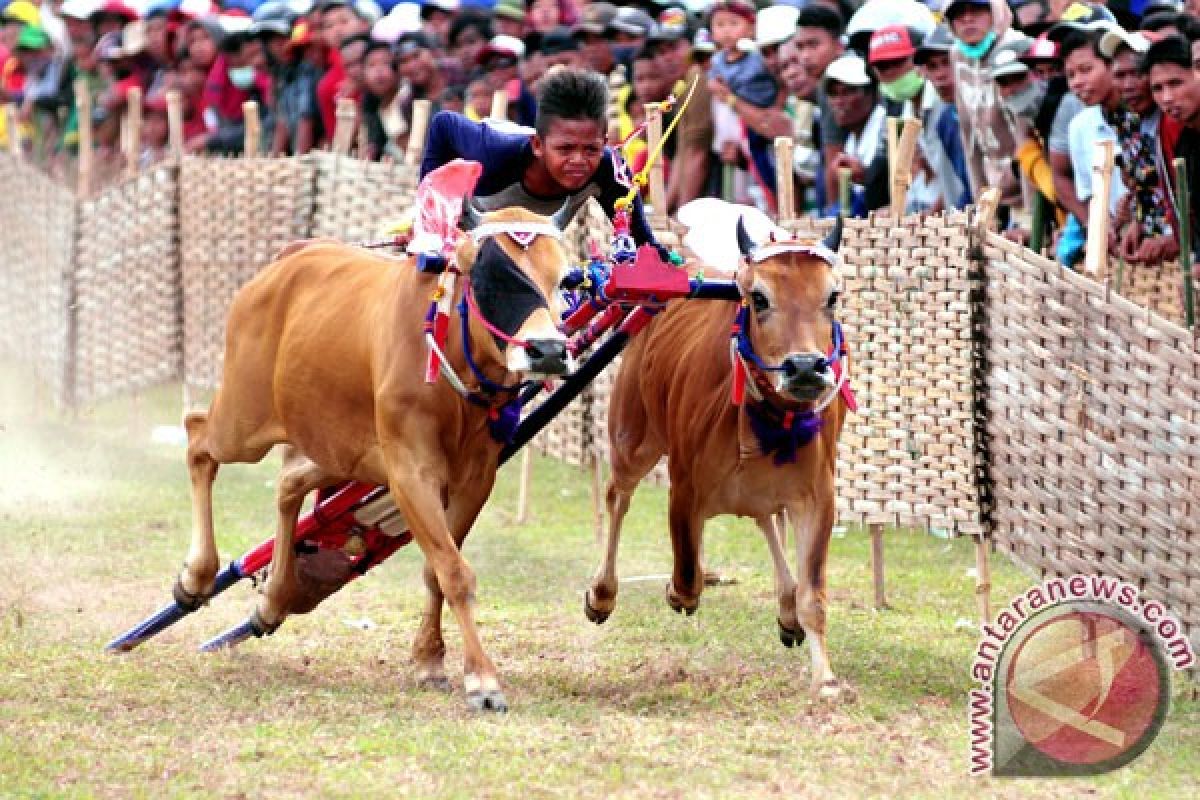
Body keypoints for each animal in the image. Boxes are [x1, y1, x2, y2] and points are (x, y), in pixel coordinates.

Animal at [175, 206, 576, 714]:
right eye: (490, 276)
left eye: (563, 278)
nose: (549, 351)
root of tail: (290, 258)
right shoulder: (410, 474)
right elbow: (455, 572)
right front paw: (483, 681)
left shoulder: (475, 479)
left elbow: (438, 570)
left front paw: (430, 658)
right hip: (243, 422)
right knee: (198, 437)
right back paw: (196, 577)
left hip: (338, 448)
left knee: (289, 482)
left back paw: (273, 600)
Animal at [585, 215, 849, 695]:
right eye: (758, 297)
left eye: (832, 296)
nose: (805, 367)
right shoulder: (685, 488)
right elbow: (687, 576)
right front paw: (675, 592)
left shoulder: (819, 497)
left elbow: (813, 593)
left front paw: (824, 677)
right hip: (632, 437)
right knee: (617, 496)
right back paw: (602, 594)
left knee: (765, 521)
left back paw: (786, 610)